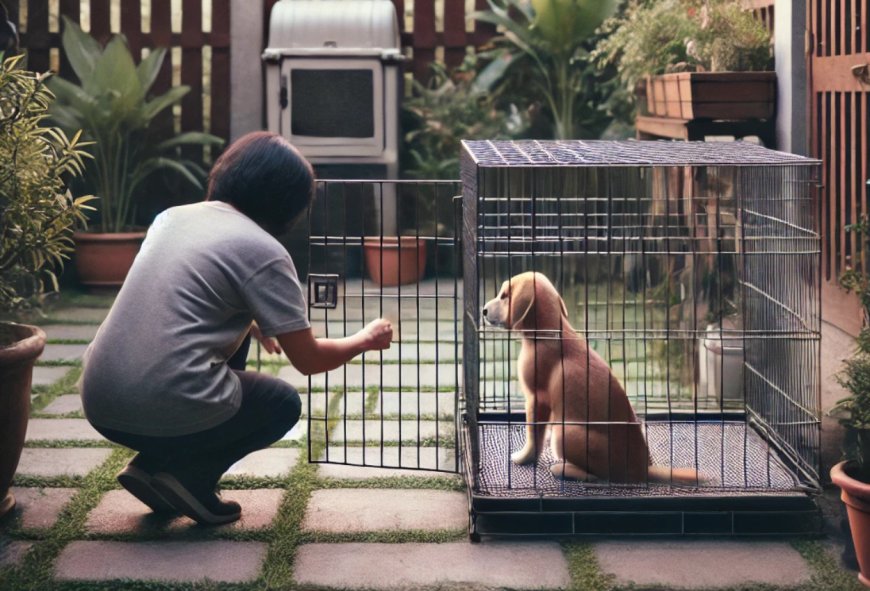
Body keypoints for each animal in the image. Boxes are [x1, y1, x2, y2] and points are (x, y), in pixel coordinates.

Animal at [484, 272, 700, 486]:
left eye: (504, 296)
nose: (483, 310)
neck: (549, 333)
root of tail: (643, 471)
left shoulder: (537, 399)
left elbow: (533, 438)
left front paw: (523, 458)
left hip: (565, 433)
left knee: (599, 476)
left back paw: (563, 469)